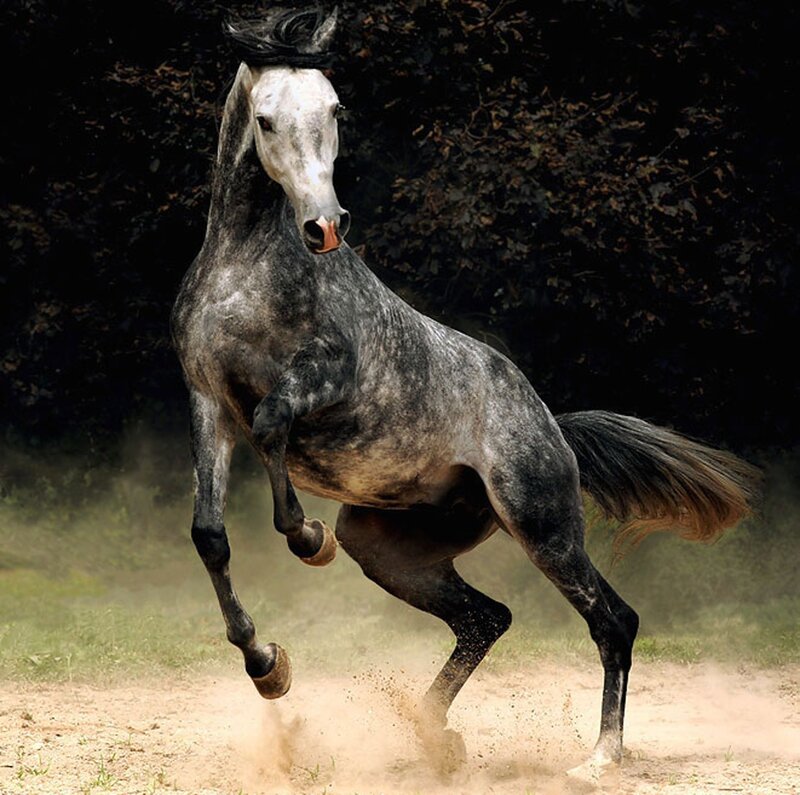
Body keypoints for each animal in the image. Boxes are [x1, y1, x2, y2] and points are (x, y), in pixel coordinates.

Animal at [170, 7, 760, 775]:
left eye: (335, 108)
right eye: (266, 119)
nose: (325, 226)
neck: (247, 271)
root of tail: (553, 426)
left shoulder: (330, 374)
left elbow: (272, 421)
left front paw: (306, 537)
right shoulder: (208, 400)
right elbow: (209, 535)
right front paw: (268, 666)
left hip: (541, 524)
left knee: (614, 620)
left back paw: (599, 758)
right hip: (392, 547)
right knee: (489, 616)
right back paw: (432, 735)